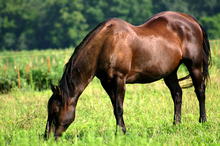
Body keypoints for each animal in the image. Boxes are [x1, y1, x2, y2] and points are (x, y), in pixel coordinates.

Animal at [44, 11, 211, 138]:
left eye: (55, 111)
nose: (47, 137)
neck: (106, 44)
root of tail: (190, 20)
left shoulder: (119, 79)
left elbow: (119, 107)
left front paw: (121, 133)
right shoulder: (106, 82)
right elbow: (114, 107)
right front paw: (120, 130)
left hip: (194, 66)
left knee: (200, 91)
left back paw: (203, 121)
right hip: (170, 72)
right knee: (177, 94)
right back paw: (176, 124)